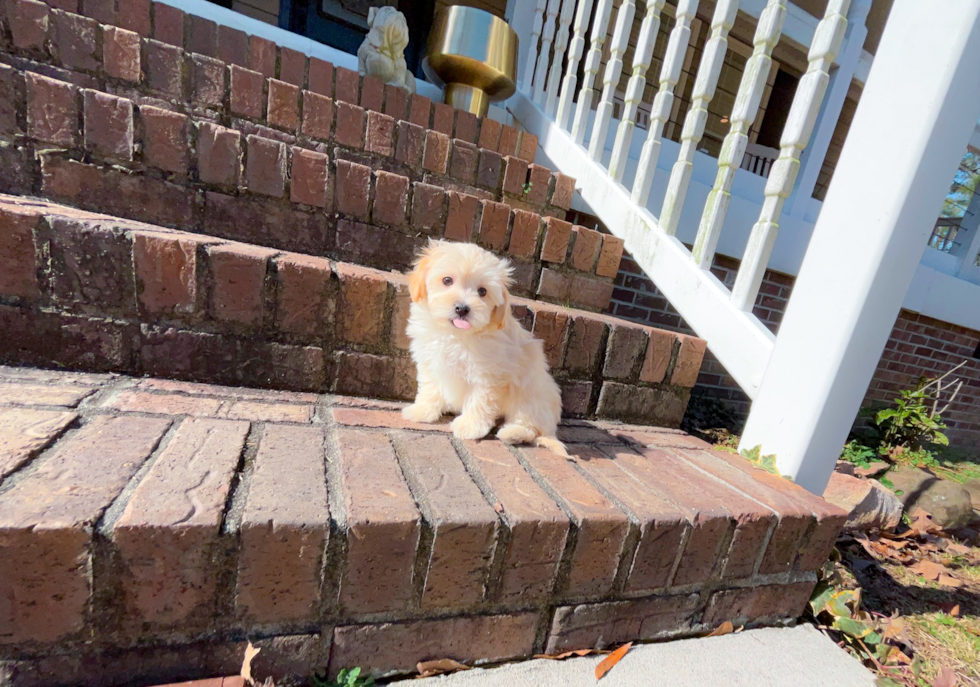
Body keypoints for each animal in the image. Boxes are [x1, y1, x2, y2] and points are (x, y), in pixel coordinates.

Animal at [402, 239, 572, 460]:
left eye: (482, 291)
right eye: (447, 280)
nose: (462, 308)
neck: (456, 335)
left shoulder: (488, 374)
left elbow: (480, 399)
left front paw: (469, 426)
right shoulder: (430, 361)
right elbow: (430, 388)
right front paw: (422, 410)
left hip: (530, 396)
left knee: (531, 428)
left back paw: (512, 433)